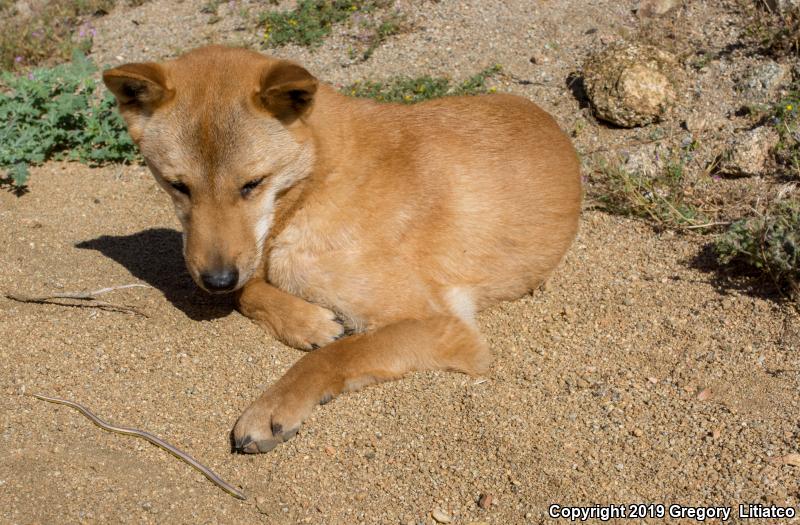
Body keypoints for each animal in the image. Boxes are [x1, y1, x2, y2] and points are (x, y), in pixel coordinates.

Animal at [104, 45, 580, 452]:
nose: (215, 280)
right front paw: (309, 322)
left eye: (253, 183)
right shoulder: (248, 260)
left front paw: (273, 406)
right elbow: (250, 289)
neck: (320, 178)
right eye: (177, 185)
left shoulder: (447, 327)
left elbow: (336, 354)